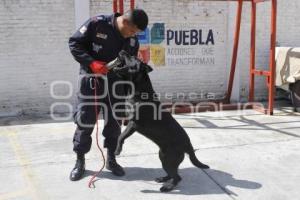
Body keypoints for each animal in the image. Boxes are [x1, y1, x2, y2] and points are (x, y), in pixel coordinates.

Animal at [112, 54, 209, 192]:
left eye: (132, 57)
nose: (122, 51)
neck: (138, 89)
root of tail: (188, 144)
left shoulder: (134, 124)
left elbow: (121, 136)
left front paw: (117, 151)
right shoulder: (130, 122)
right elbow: (121, 134)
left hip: (169, 159)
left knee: (177, 177)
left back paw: (167, 187)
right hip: (163, 156)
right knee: (172, 174)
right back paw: (163, 179)